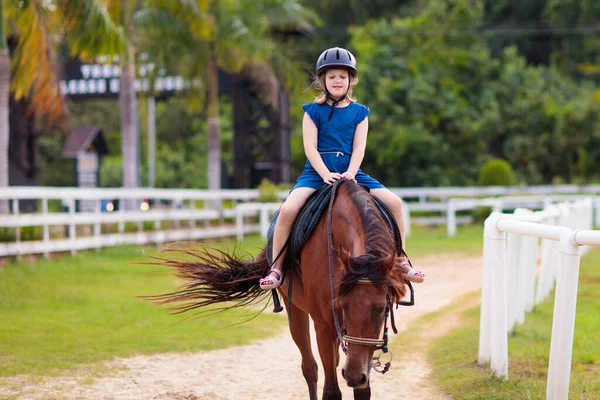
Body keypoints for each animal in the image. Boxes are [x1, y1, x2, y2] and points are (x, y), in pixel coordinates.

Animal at [144, 180, 408, 398]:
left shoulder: (362, 344)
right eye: (341, 305)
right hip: (297, 313)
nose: (353, 375)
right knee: (310, 369)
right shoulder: (324, 324)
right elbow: (331, 390)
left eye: (381, 308)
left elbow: (361, 390)